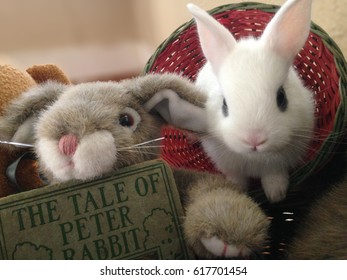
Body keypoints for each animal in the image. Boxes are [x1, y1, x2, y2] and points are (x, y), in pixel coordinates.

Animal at [188, 0, 316, 201]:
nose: (254, 140)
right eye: (224, 105)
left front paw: (276, 196)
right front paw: (236, 192)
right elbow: (236, 179)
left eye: (282, 97)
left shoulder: (277, 165)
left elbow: (274, 176)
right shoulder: (229, 165)